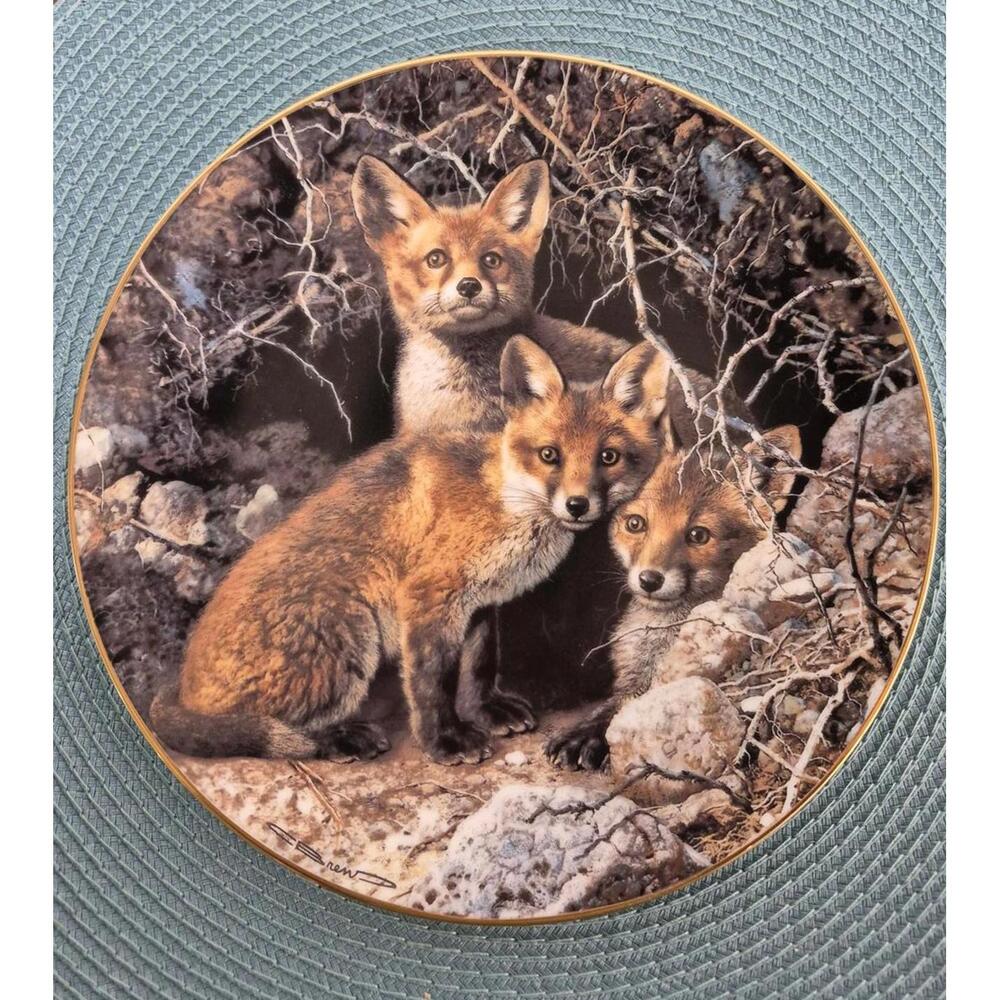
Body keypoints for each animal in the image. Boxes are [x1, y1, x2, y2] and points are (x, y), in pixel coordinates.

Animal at [150, 336, 670, 764]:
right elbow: (430, 683)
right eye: (550, 455)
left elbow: (479, 666)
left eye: (608, 457)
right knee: (274, 730)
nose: (578, 506)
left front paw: (486, 711)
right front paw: (444, 742)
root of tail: (183, 685)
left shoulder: (478, 603)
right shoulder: (428, 595)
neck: (501, 501)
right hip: (349, 636)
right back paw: (339, 738)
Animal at [545, 422, 802, 771]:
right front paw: (582, 731)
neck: (663, 634)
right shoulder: (633, 676)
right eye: (636, 524)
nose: (649, 579)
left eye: (698, 535)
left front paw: (587, 739)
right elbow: (611, 704)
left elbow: (622, 711)